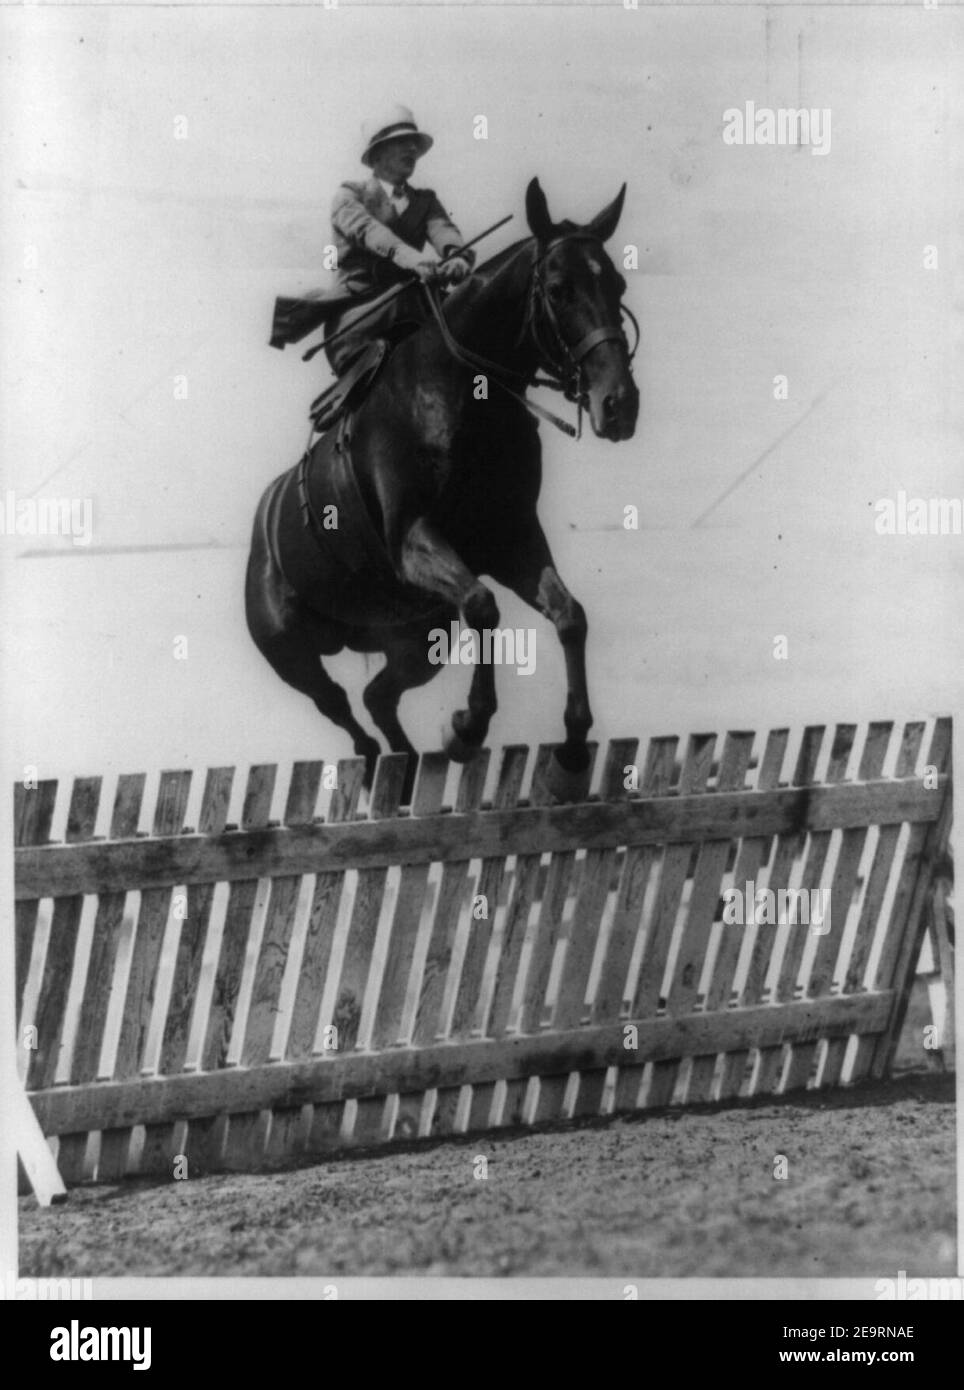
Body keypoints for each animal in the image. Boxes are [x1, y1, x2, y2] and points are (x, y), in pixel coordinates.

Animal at [247, 176, 641, 806]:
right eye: (559, 289)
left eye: (618, 284)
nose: (619, 405)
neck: (463, 395)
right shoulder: (414, 542)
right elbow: (483, 605)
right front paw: (466, 727)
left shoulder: (511, 540)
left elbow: (569, 615)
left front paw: (574, 750)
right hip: (290, 653)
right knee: (339, 705)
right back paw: (376, 767)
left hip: (418, 637)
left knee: (379, 695)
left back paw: (404, 771)